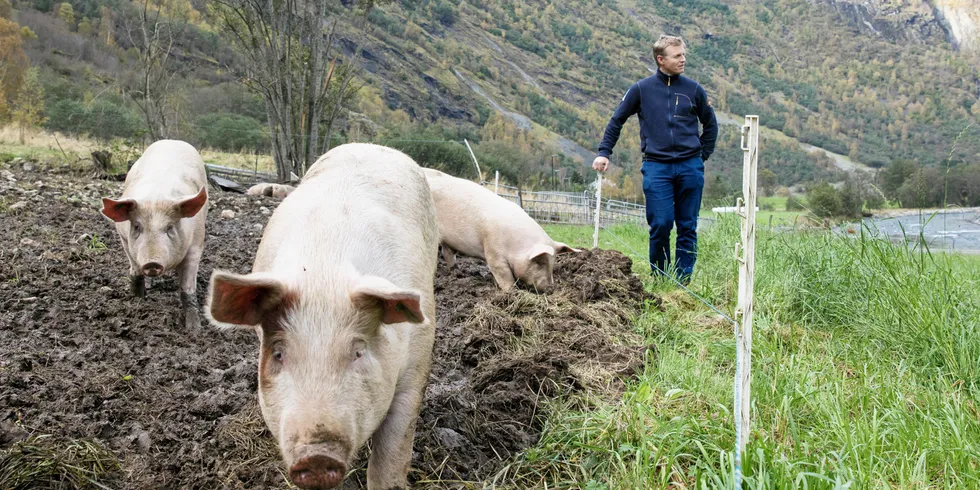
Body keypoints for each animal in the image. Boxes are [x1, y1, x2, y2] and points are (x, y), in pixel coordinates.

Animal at [100, 139, 210, 330]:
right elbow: (135, 271)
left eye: (170, 227)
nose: (152, 262)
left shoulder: (196, 245)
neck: (155, 197)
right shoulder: (123, 239)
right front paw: (138, 301)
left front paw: (194, 330)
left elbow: (187, 289)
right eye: (137, 226)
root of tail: (172, 141)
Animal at [205, 143, 438, 490]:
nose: (316, 456)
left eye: (358, 351)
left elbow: (393, 448)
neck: (322, 276)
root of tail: (372, 145)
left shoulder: (418, 362)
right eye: (278, 353)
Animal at [424, 167, 580, 292]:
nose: (549, 288)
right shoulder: (493, 250)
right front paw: (512, 291)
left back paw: (456, 272)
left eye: (553, 263)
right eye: (540, 262)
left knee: (448, 253)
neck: (516, 245)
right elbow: (503, 273)